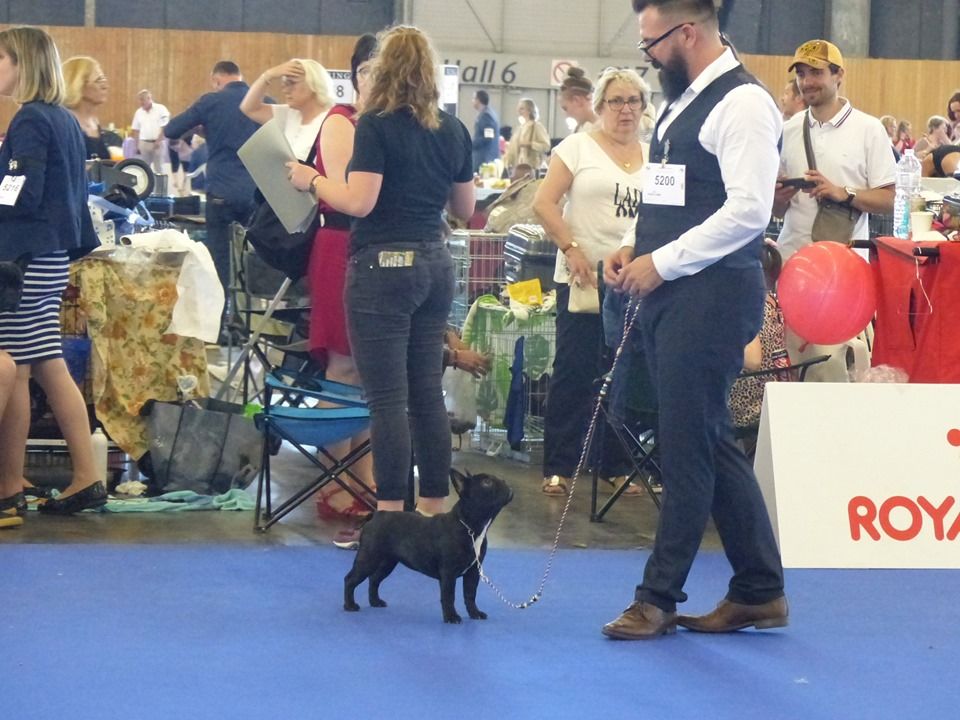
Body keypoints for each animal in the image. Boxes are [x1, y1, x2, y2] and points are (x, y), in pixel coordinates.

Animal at [343, 468, 513, 624]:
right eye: (487, 483)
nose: (505, 482)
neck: (471, 527)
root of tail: (376, 515)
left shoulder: (473, 573)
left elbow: (470, 595)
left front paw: (474, 613)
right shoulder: (448, 573)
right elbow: (449, 596)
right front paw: (451, 617)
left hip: (387, 563)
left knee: (374, 579)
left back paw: (375, 602)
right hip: (368, 559)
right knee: (350, 579)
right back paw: (350, 605)